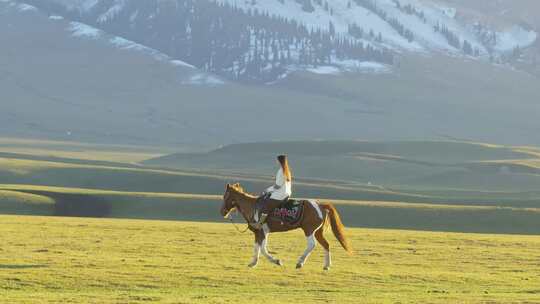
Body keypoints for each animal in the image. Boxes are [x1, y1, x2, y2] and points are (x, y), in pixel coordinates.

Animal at [220, 183, 354, 270]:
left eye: (225, 196)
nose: (222, 212)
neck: (253, 207)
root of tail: (320, 205)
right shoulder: (258, 232)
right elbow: (257, 248)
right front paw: (253, 263)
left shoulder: (263, 231)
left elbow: (262, 249)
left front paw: (277, 261)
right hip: (318, 232)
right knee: (326, 244)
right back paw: (326, 266)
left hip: (309, 230)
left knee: (312, 244)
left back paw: (300, 263)